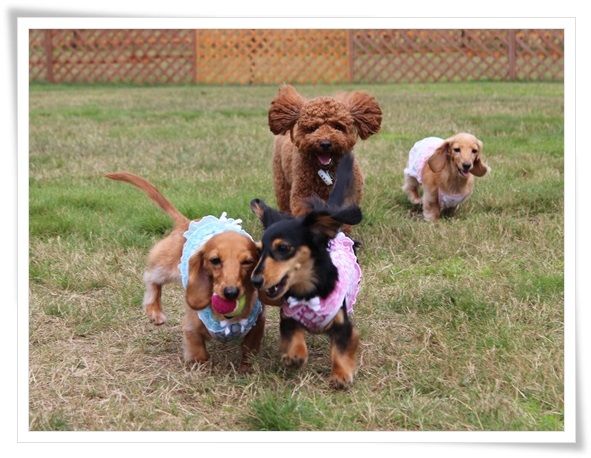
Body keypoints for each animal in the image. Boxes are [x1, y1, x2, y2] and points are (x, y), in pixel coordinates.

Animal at [105, 172, 265, 371]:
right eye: (215, 260)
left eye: (248, 262)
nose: (230, 292)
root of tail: (186, 222)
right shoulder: (192, 326)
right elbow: (198, 350)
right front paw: (201, 367)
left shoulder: (258, 323)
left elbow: (250, 349)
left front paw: (246, 368)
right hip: (166, 269)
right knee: (151, 279)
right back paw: (154, 310)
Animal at [249, 153, 363, 389]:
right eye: (259, 251)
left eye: (283, 248)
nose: (255, 280)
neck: (307, 292)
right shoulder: (288, 317)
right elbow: (293, 335)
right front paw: (295, 356)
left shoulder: (343, 325)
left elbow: (342, 347)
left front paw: (341, 375)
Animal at [268, 84, 382, 216]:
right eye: (312, 128)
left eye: (338, 126)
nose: (325, 143)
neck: (327, 171)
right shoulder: (304, 197)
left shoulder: (349, 196)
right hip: (282, 181)